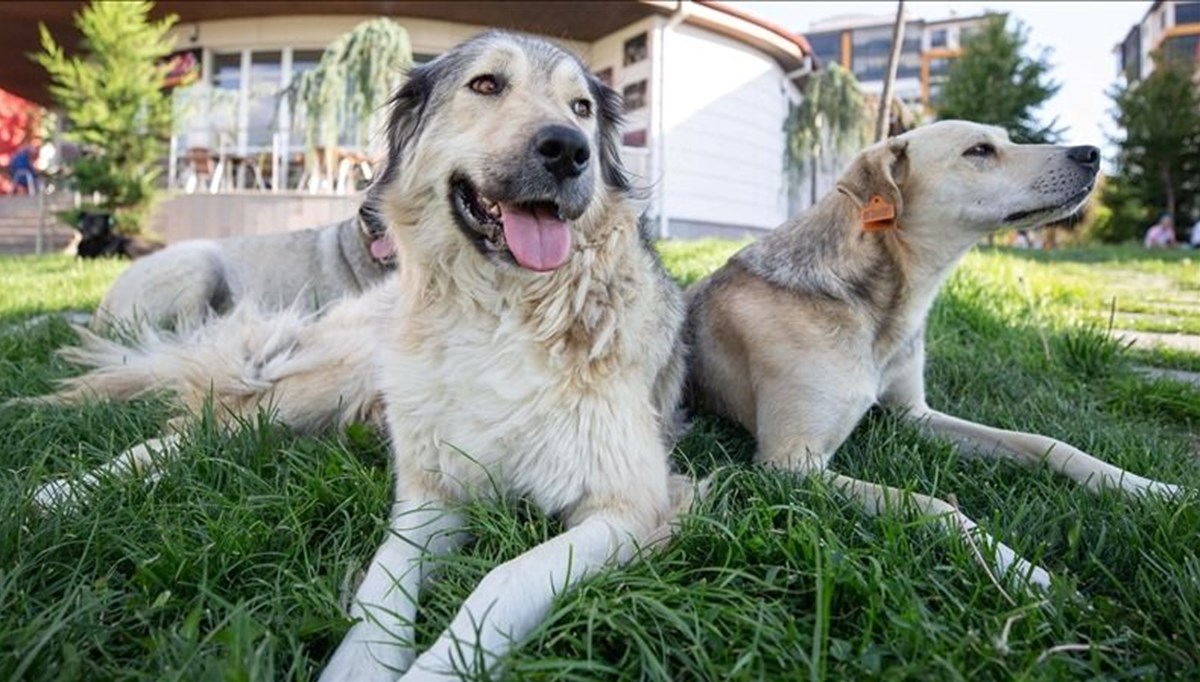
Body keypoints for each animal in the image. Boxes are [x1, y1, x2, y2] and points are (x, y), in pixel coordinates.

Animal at [691, 120, 1176, 588]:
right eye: (979, 150)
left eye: (1005, 138)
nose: (1092, 153)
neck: (880, 302)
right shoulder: (790, 463)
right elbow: (936, 504)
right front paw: (1021, 570)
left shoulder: (913, 415)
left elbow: (1047, 443)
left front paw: (1148, 487)